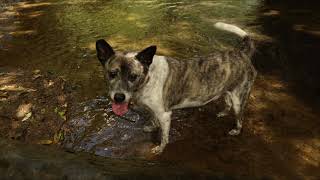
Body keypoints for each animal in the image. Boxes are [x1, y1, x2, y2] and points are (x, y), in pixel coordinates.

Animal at [95, 22, 258, 154]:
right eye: (112, 74)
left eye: (133, 76)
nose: (119, 97)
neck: (148, 76)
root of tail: (241, 53)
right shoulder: (154, 110)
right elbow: (153, 119)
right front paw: (152, 127)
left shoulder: (165, 114)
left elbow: (164, 136)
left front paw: (160, 149)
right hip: (227, 91)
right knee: (228, 103)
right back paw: (223, 113)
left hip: (239, 99)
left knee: (239, 117)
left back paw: (236, 130)